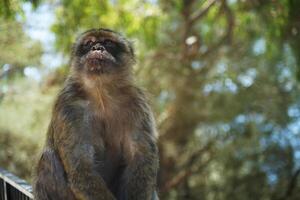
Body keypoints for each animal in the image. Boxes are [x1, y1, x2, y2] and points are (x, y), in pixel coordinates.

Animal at [32, 28, 159, 200]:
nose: (97, 48)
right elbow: (81, 165)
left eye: (108, 43)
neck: (101, 94)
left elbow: (141, 157)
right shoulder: (70, 106)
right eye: (88, 44)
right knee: (48, 157)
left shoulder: (136, 102)